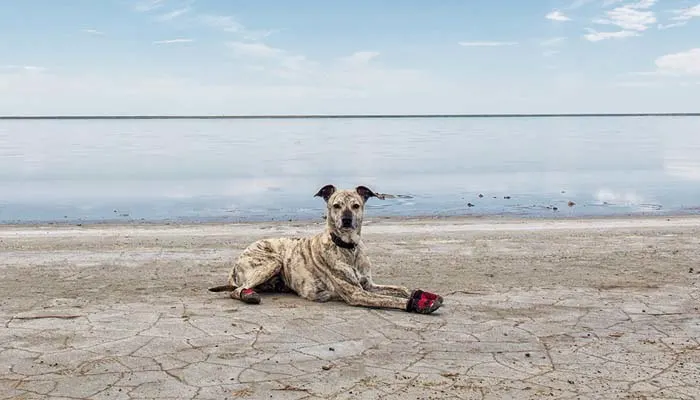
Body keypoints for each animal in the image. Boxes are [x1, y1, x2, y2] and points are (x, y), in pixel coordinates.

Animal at [208, 186, 446, 314]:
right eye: (336, 205)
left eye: (356, 205)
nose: (347, 220)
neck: (348, 248)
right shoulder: (358, 293)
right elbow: (390, 299)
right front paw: (415, 304)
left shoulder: (368, 284)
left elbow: (401, 289)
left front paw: (418, 294)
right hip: (272, 262)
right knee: (237, 290)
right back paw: (249, 296)